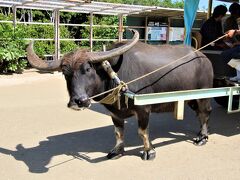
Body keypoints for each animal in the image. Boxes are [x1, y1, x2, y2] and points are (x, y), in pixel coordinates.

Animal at [27, 29, 213, 160]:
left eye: (87, 69)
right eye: (66, 73)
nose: (79, 101)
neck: (114, 75)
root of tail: (203, 57)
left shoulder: (144, 109)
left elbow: (142, 132)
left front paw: (149, 151)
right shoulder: (114, 112)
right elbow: (118, 132)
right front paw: (117, 151)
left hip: (204, 94)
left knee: (205, 112)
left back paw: (202, 137)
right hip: (191, 98)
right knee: (199, 113)